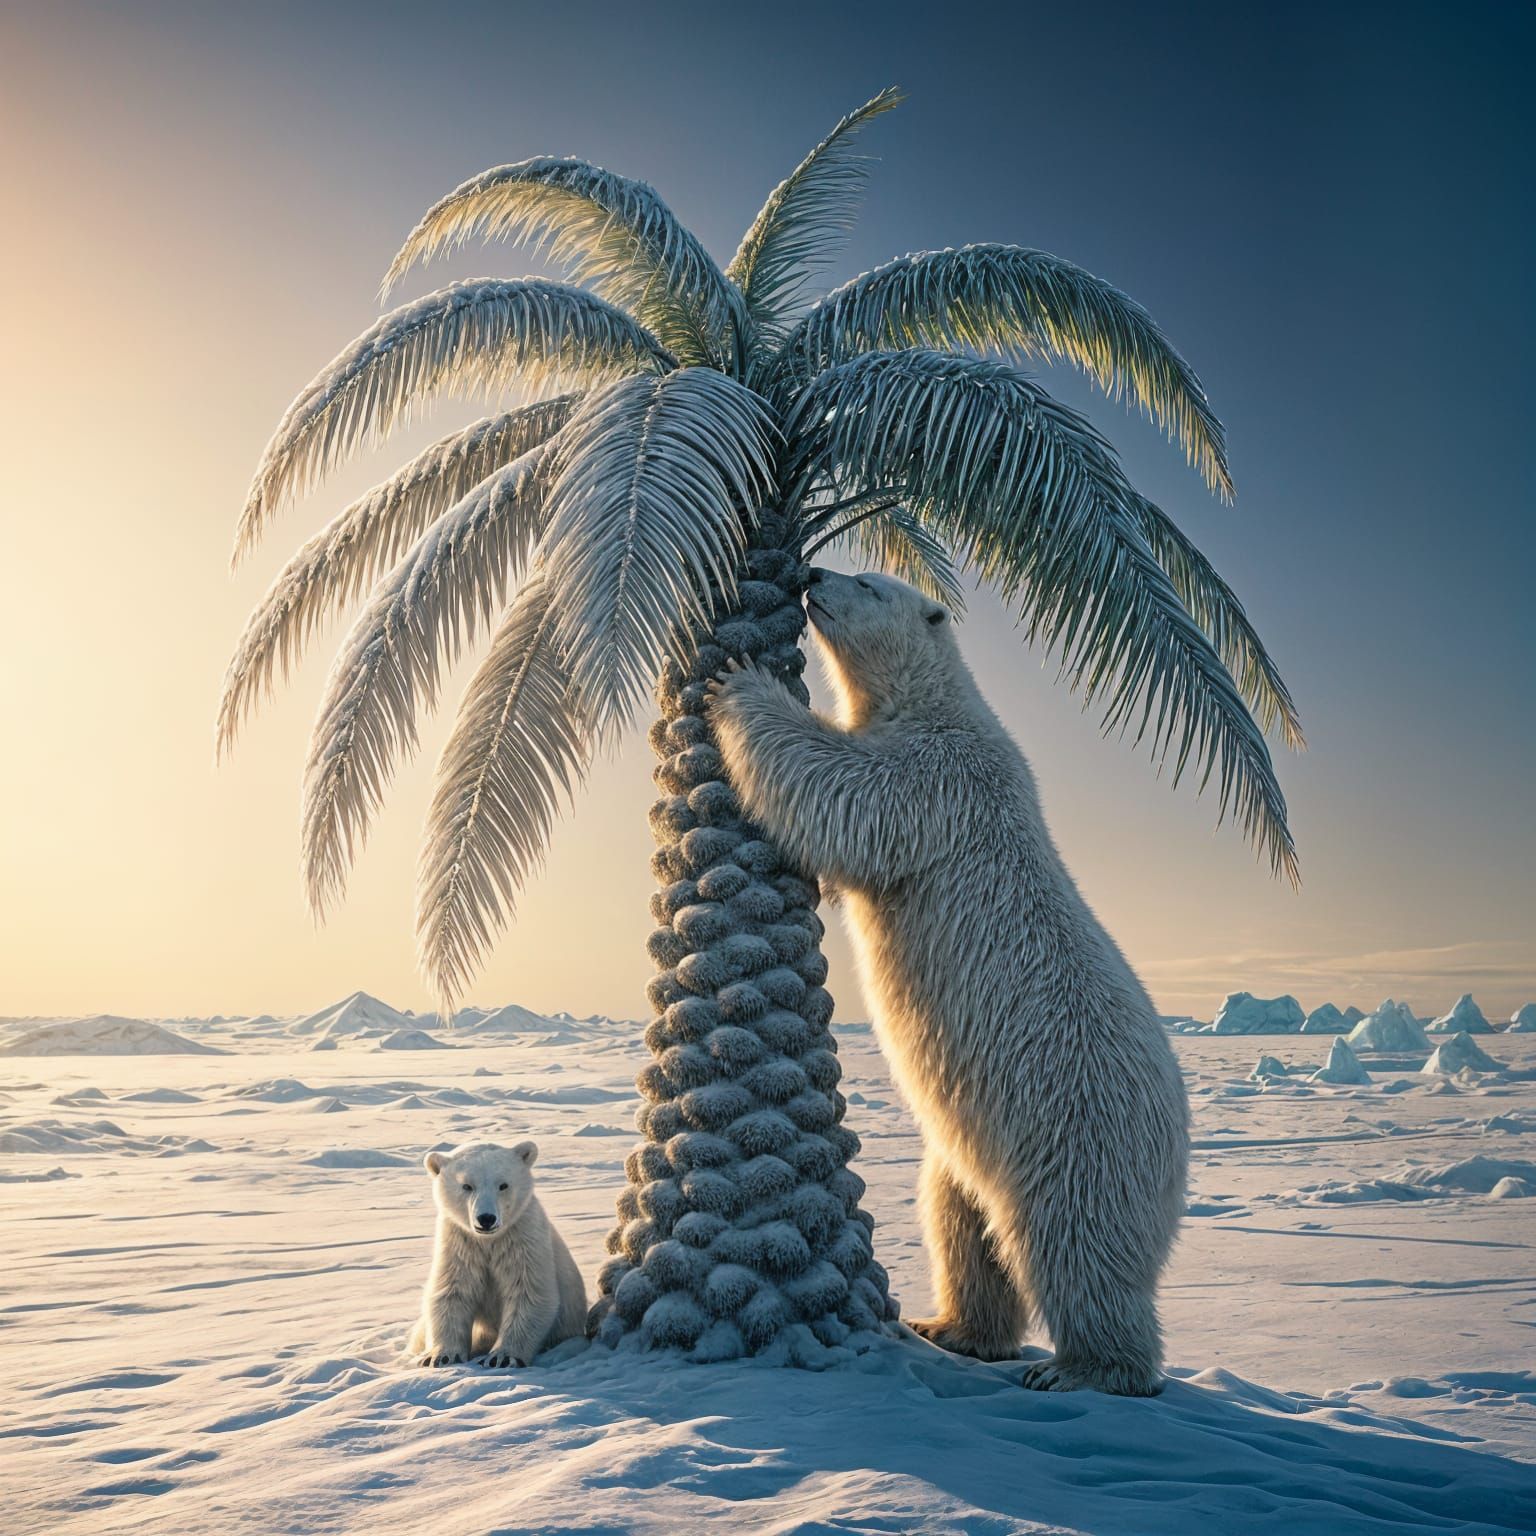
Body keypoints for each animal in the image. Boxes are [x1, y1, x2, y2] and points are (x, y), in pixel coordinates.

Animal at [410, 1140, 587, 1367]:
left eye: (503, 1185)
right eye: (467, 1186)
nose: (486, 1218)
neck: (488, 1241)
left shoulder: (523, 1240)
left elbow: (528, 1294)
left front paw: (501, 1358)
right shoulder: (459, 1244)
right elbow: (451, 1292)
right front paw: (441, 1356)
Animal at [708, 568, 1189, 1395]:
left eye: (868, 581)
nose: (811, 575)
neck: (938, 702)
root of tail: (1183, 1143)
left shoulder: (938, 775)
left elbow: (845, 794)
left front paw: (740, 683)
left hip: (1080, 1133)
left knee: (1076, 1246)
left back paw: (1088, 1369)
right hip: (969, 1151)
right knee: (961, 1224)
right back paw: (954, 1328)